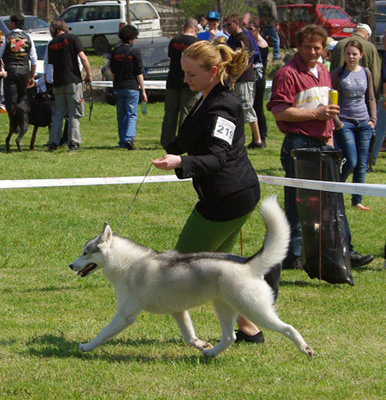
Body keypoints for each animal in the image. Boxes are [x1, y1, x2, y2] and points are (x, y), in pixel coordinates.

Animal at [70, 196, 314, 356]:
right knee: (230, 337)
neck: (127, 264)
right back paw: (210, 354)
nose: (71, 265)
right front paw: (201, 345)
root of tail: (248, 265)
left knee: (288, 328)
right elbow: (190, 337)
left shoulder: (125, 315)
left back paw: (305, 348)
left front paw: (86, 347)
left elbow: (103, 333)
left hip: (254, 309)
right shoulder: (179, 312)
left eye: (85, 253)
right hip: (224, 308)